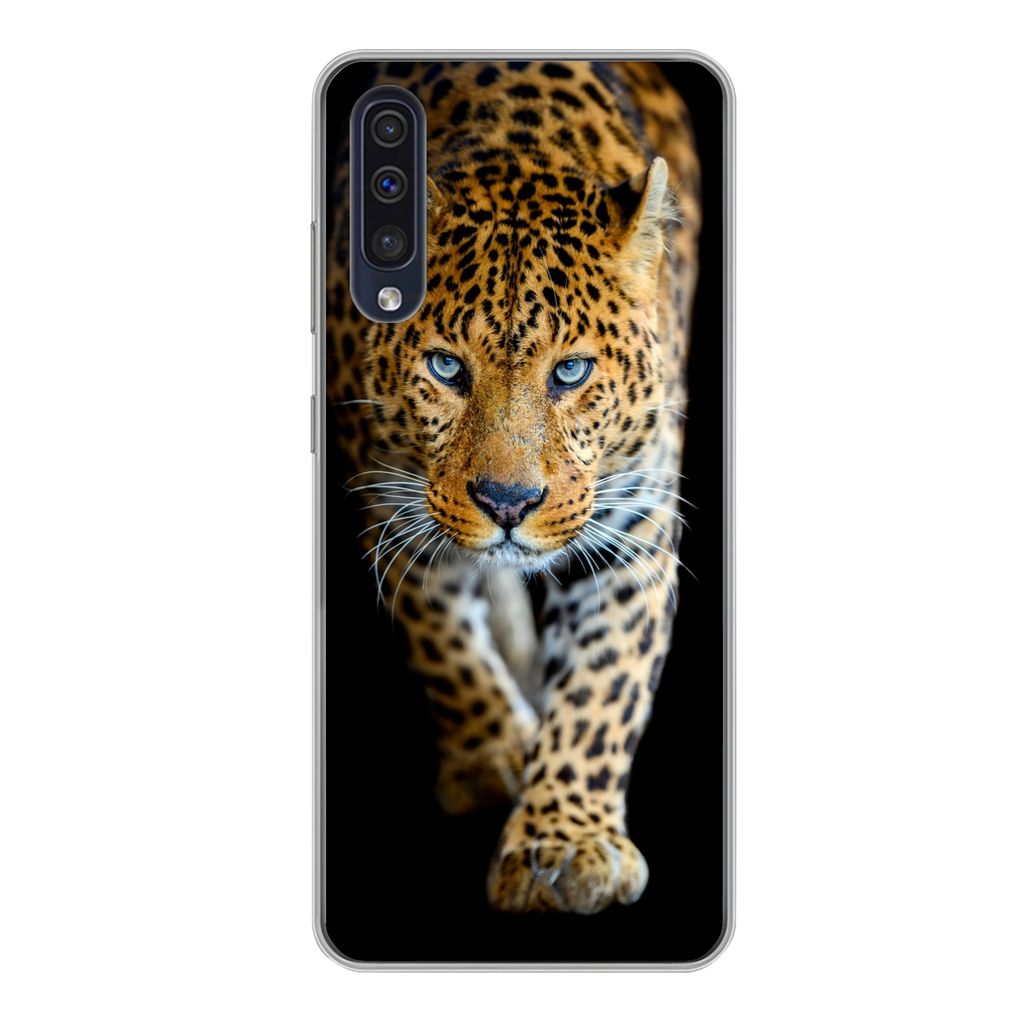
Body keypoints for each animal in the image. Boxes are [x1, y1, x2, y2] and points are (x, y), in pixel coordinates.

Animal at [326, 59, 701, 914]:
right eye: (445, 368)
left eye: (571, 372)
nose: (507, 504)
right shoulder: (391, 502)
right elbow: (441, 642)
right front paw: (492, 751)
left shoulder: (634, 535)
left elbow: (604, 689)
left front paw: (565, 841)